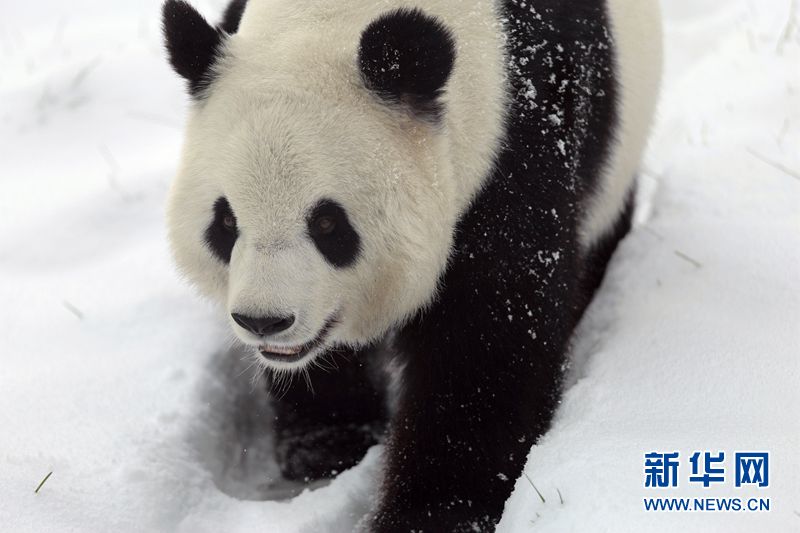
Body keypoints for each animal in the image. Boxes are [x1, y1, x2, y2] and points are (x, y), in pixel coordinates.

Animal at [159, 0, 660, 528]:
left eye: (327, 224)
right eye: (225, 221)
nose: (264, 321)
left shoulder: (519, 146)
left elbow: (484, 345)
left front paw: (435, 512)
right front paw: (326, 444)